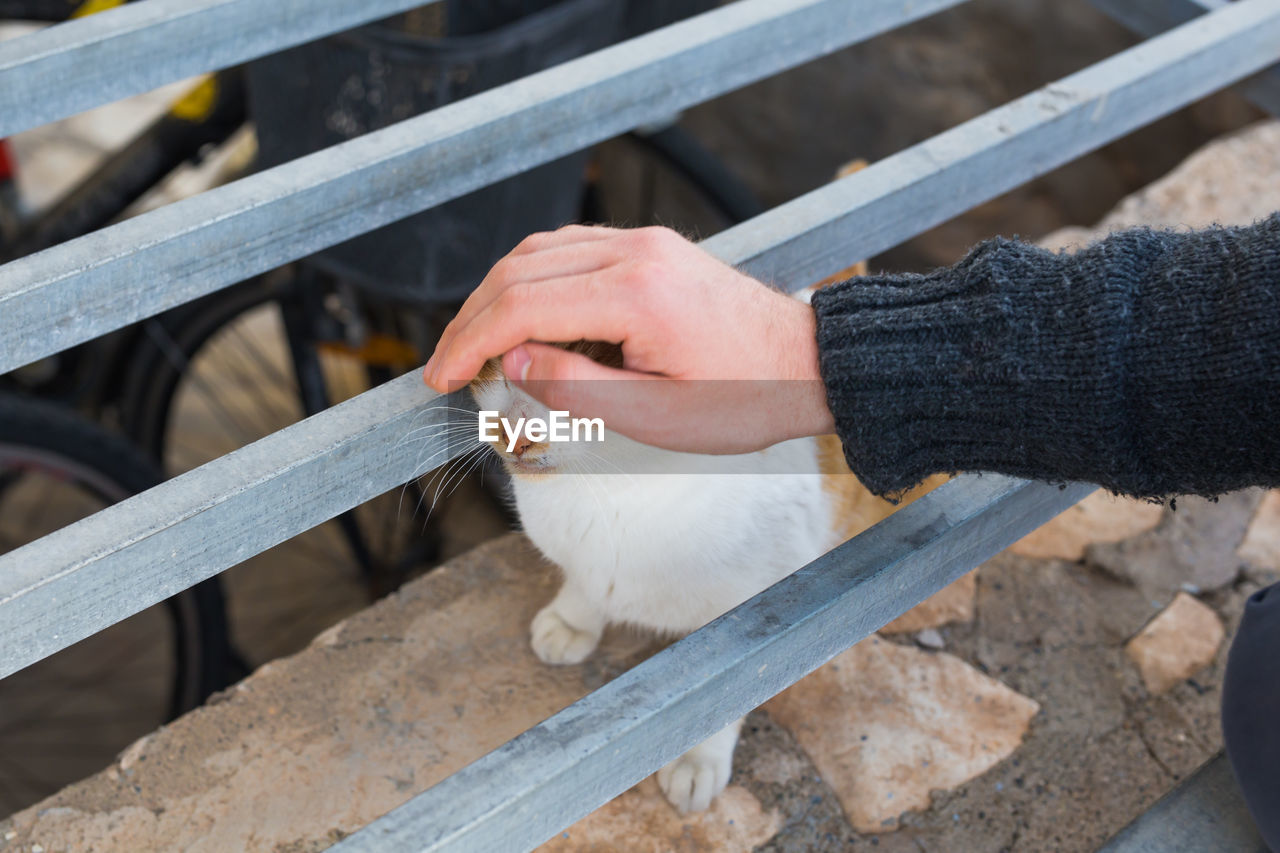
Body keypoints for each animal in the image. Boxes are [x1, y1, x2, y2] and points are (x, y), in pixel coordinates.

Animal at [471, 338, 942, 809]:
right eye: (507, 368)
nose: (517, 434)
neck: (607, 496)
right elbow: (586, 586)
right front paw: (572, 620)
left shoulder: (750, 621)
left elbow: (719, 688)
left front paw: (697, 759)